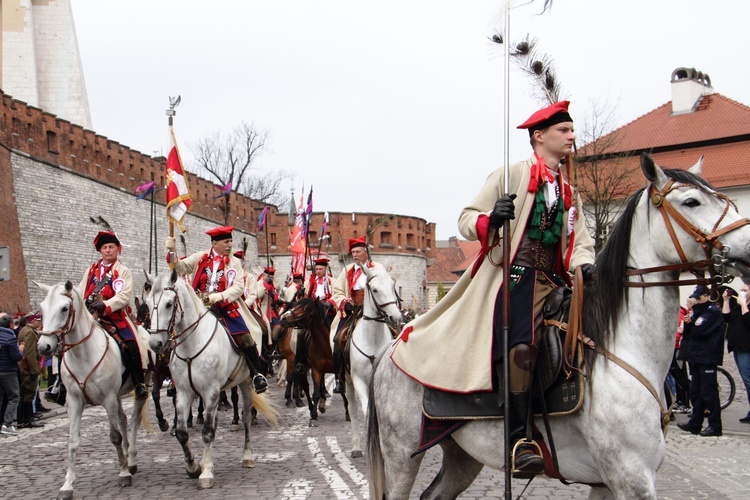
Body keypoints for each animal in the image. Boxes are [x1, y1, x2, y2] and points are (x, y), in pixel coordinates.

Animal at [37, 282, 154, 500]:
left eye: (64, 308)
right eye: (41, 309)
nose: (44, 347)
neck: (83, 354)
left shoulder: (107, 399)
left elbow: (115, 436)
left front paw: (123, 474)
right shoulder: (75, 403)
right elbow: (72, 442)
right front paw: (67, 485)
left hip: (142, 385)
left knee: (133, 420)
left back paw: (131, 460)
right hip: (118, 395)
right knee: (123, 419)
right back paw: (127, 458)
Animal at [146, 270, 280, 488]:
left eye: (169, 303)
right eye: (148, 303)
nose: (155, 344)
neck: (192, 344)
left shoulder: (211, 391)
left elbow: (208, 432)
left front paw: (206, 473)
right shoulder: (184, 393)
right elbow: (182, 432)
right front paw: (193, 467)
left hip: (245, 383)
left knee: (246, 418)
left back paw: (247, 456)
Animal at [346, 266, 406, 458]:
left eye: (393, 286)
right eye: (375, 290)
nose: (396, 317)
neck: (372, 340)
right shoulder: (358, 381)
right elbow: (365, 412)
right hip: (347, 382)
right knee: (352, 410)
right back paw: (356, 447)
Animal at [368, 154, 750, 498]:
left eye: (723, 198)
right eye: (691, 201)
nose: (748, 246)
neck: (621, 350)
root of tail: (394, 346)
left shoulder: (607, 483)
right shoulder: (632, 478)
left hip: (462, 454)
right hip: (402, 455)